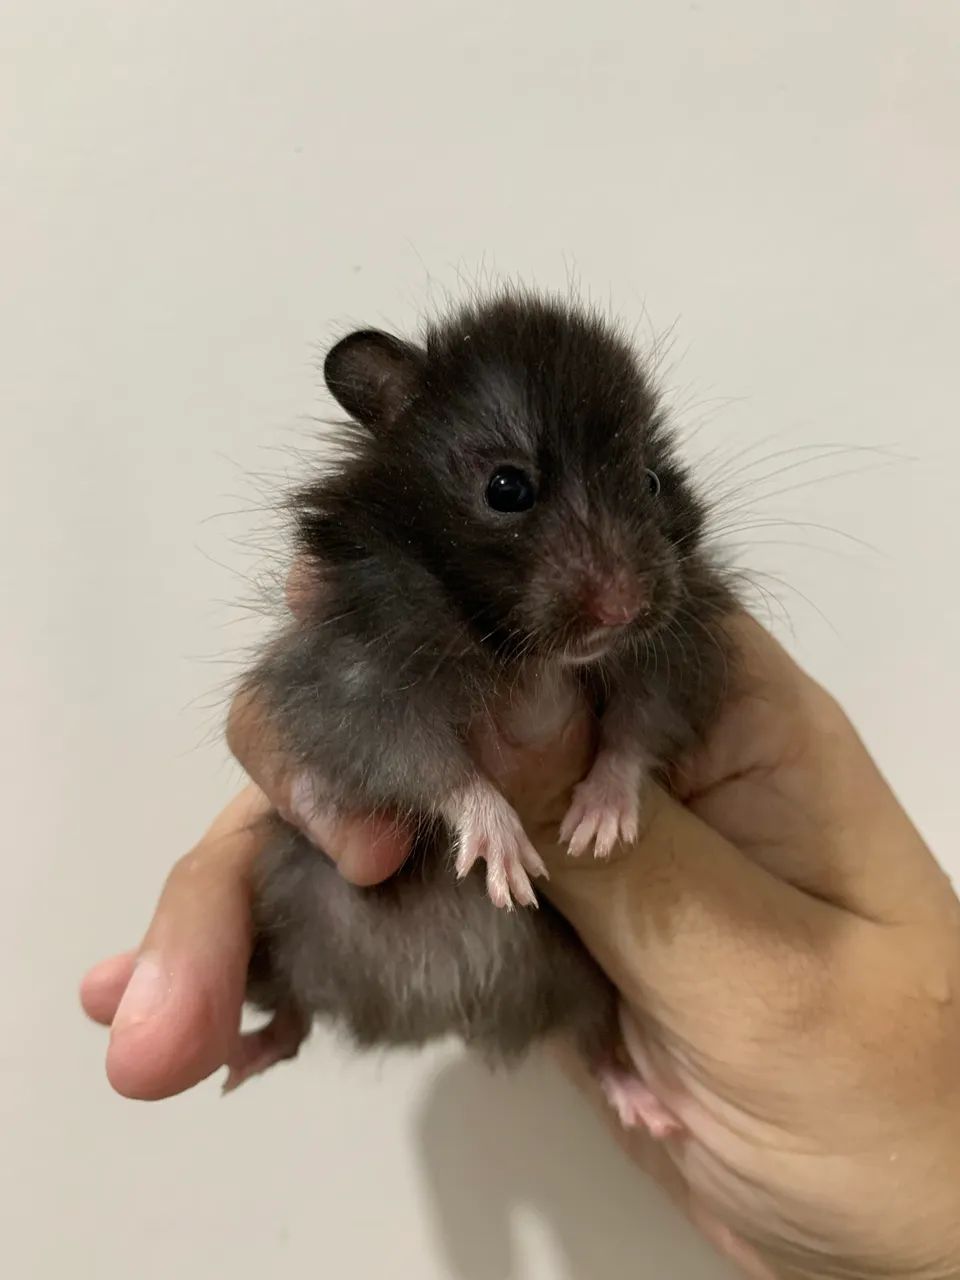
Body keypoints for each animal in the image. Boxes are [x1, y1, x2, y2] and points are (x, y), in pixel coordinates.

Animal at [227, 290, 738, 1131]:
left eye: (652, 482)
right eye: (506, 488)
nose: (626, 609)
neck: (519, 648)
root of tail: (437, 1018)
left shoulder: (676, 652)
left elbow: (636, 730)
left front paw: (596, 828)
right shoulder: (355, 681)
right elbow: (433, 767)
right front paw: (505, 857)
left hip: (583, 976)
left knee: (598, 1038)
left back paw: (645, 1106)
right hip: (293, 917)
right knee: (296, 1012)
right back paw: (244, 1060)